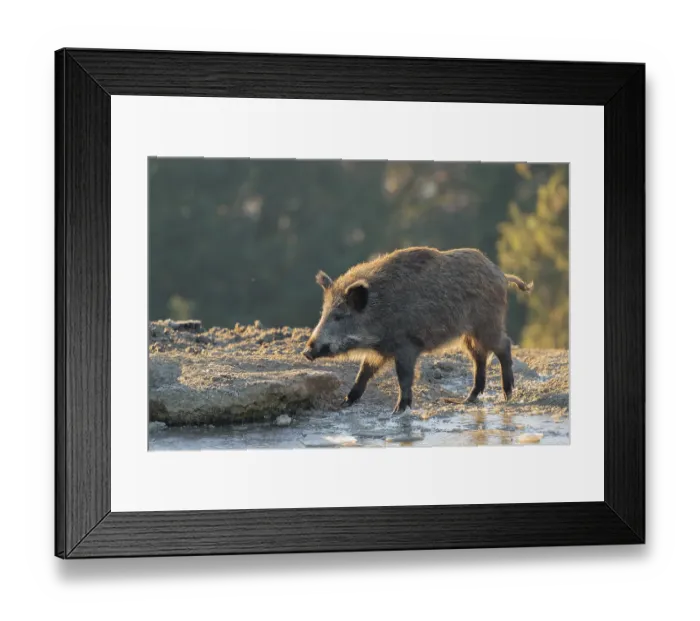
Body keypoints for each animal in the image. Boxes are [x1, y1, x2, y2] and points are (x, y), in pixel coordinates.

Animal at [303, 246, 533, 414]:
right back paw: (468, 399)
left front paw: (398, 410)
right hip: (469, 333)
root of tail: (502, 275)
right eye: (323, 312)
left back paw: (507, 394)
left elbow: (403, 377)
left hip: (487, 324)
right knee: (479, 356)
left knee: (503, 346)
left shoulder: (406, 346)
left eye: (339, 316)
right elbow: (364, 372)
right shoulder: (380, 351)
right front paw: (345, 402)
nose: (306, 351)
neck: (380, 310)